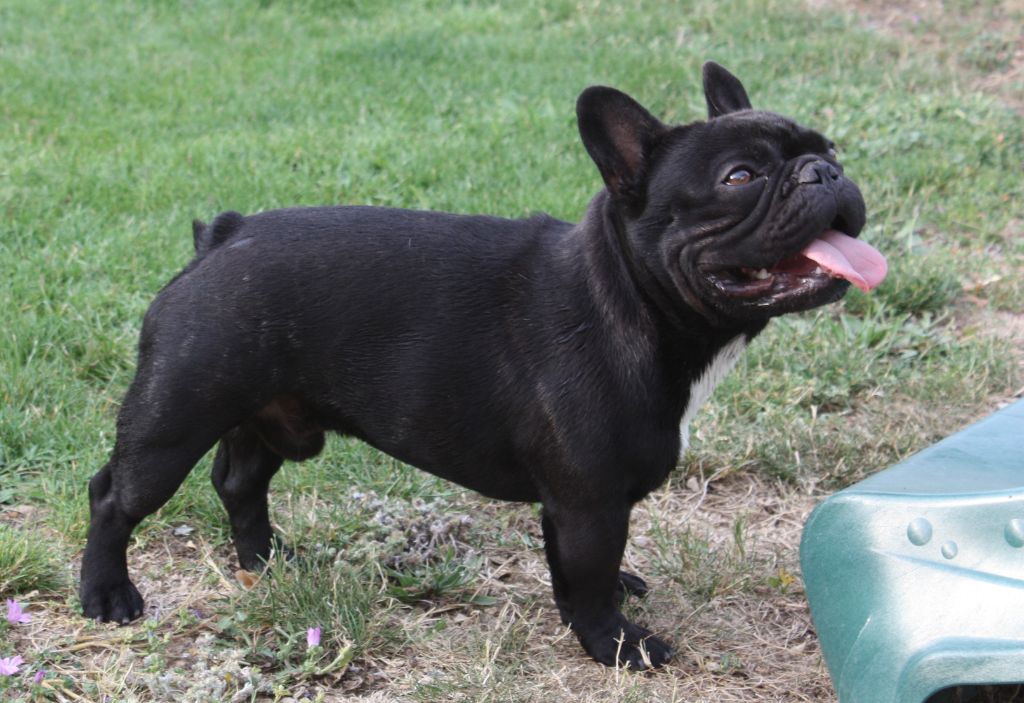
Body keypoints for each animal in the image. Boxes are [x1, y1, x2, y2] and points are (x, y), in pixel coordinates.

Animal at [79, 63, 884, 667]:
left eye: (831, 147)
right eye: (740, 176)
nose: (824, 172)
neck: (630, 297)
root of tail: (221, 236)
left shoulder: (578, 501)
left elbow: (576, 569)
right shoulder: (590, 500)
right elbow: (588, 575)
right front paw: (618, 647)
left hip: (267, 411)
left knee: (240, 480)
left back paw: (269, 561)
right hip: (175, 417)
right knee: (115, 497)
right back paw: (108, 596)